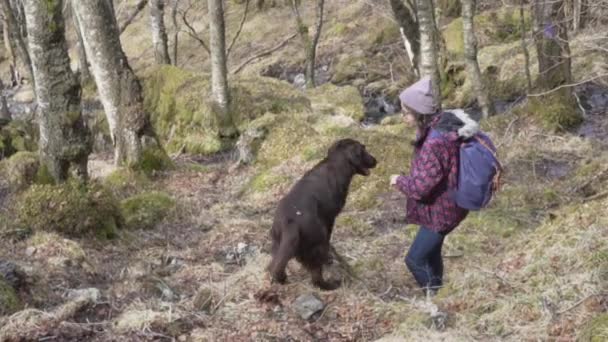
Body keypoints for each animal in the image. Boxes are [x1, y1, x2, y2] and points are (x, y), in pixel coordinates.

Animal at [268, 138, 378, 290]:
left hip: (278, 245)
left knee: (275, 267)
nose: (376, 160)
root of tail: (290, 223)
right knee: (316, 279)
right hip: (316, 245)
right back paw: (333, 283)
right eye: (363, 149)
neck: (335, 165)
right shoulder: (330, 217)